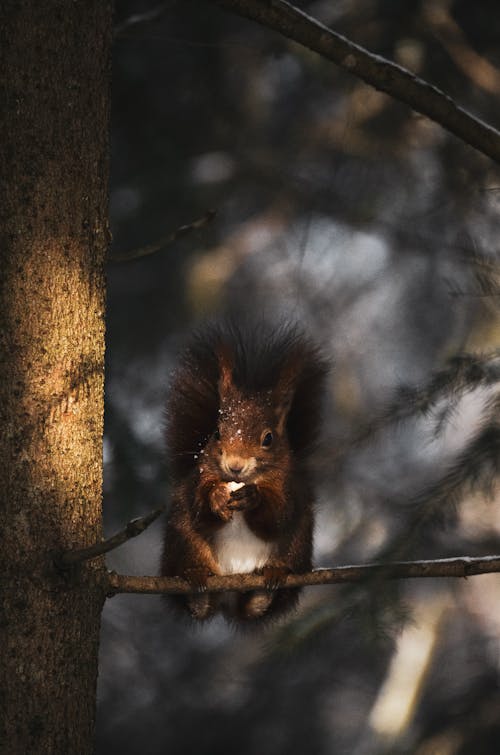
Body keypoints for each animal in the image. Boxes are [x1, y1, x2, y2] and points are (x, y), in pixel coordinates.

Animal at [160, 322, 328, 624]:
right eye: (216, 433)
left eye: (268, 438)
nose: (235, 465)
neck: (240, 481)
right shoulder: (198, 479)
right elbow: (200, 508)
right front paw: (215, 497)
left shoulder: (289, 487)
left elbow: (278, 517)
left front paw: (254, 498)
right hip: (183, 539)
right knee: (199, 598)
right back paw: (197, 583)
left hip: (297, 546)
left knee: (257, 605)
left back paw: (270, 583)